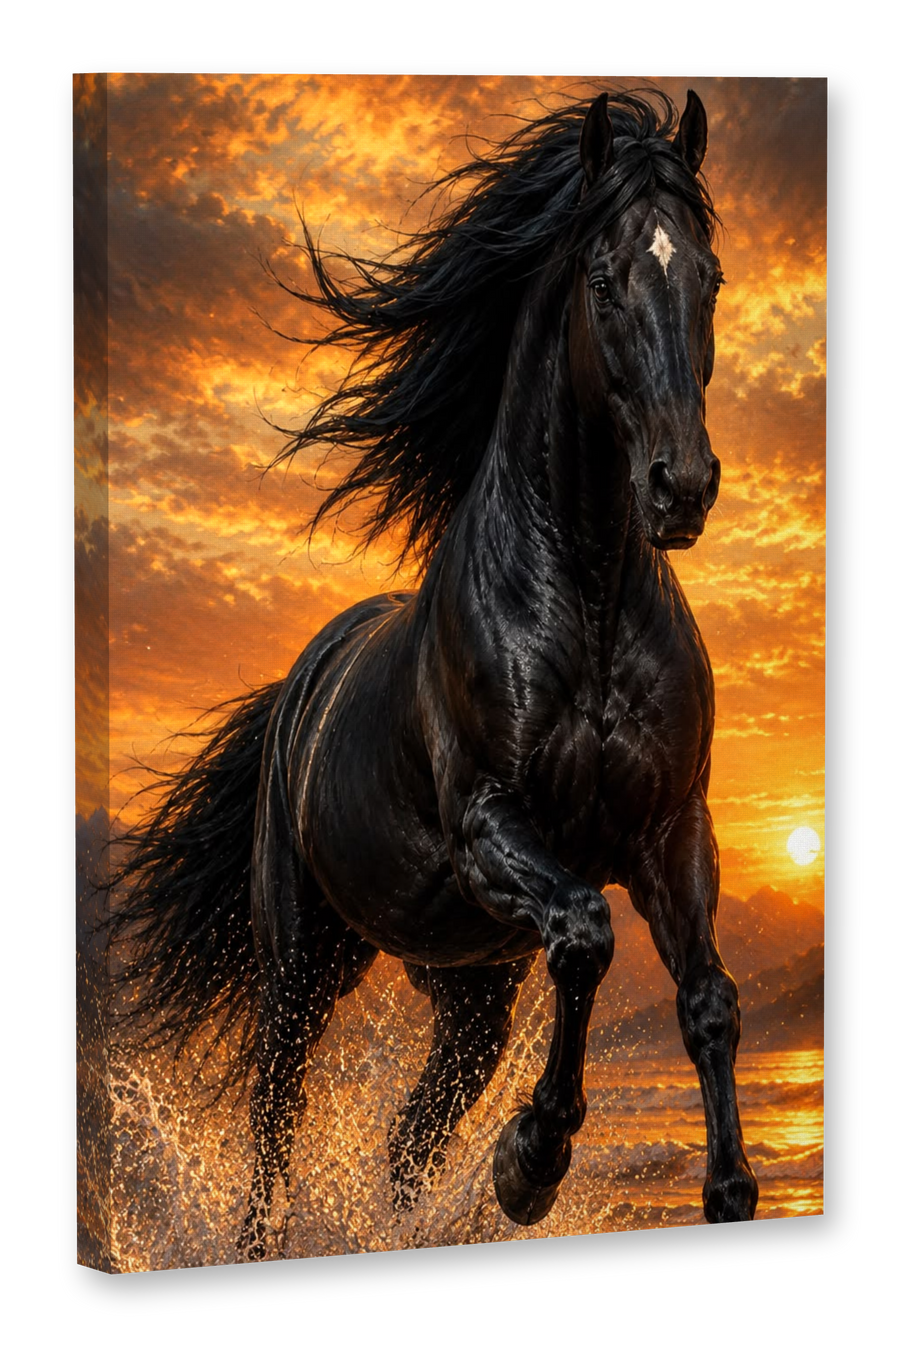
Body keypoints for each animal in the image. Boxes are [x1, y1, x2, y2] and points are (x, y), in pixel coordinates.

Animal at [112, 88, 759, 1258]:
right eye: (605, 278)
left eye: (710, 275)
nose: (680, 488)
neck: (588, 596)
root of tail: (301, 683)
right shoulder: (493, 827)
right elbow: (587, 939)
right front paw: (530, 1163)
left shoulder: (671, 832)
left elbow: (710, 1003)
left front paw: (729, 1190)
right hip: (303, 966)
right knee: (275, 1123)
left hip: (468, 988)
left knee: (408, 1144)